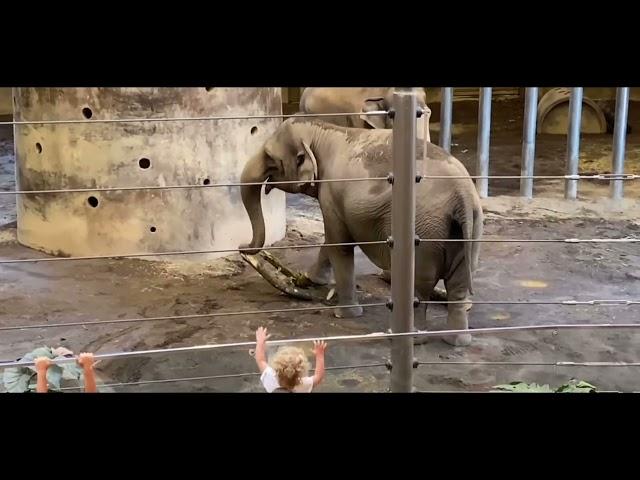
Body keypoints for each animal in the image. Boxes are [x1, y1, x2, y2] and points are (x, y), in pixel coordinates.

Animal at [241, 118, 484, 346]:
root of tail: (462, 193)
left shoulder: (330, 192)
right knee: (459, 285)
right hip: (469, 229)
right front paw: (308, 279)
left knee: (420, 286)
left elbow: (338, 245)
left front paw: (344, 314)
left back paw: (406, 336)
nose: (242, 247)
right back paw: (457, 340)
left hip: (424, 231)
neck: (323, 130)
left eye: (269, 157)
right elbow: (331, 241)